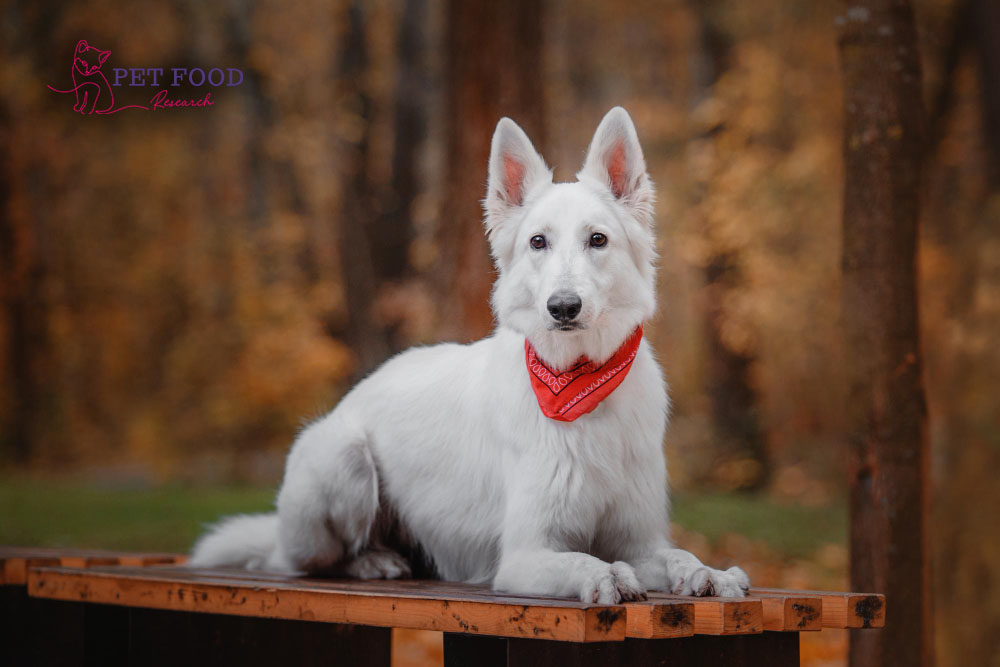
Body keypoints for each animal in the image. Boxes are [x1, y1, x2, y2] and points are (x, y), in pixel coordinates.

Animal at [191, 107, 748, 604]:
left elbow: (676, 556)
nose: (563, 307)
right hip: (342, 457)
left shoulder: (639, 541)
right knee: (296, 561)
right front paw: (604, 575)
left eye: (598, 240)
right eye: (538, 242)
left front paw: (709, 573)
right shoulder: (525, 556)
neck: (581, 382)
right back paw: (373, 560)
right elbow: (583, 560)